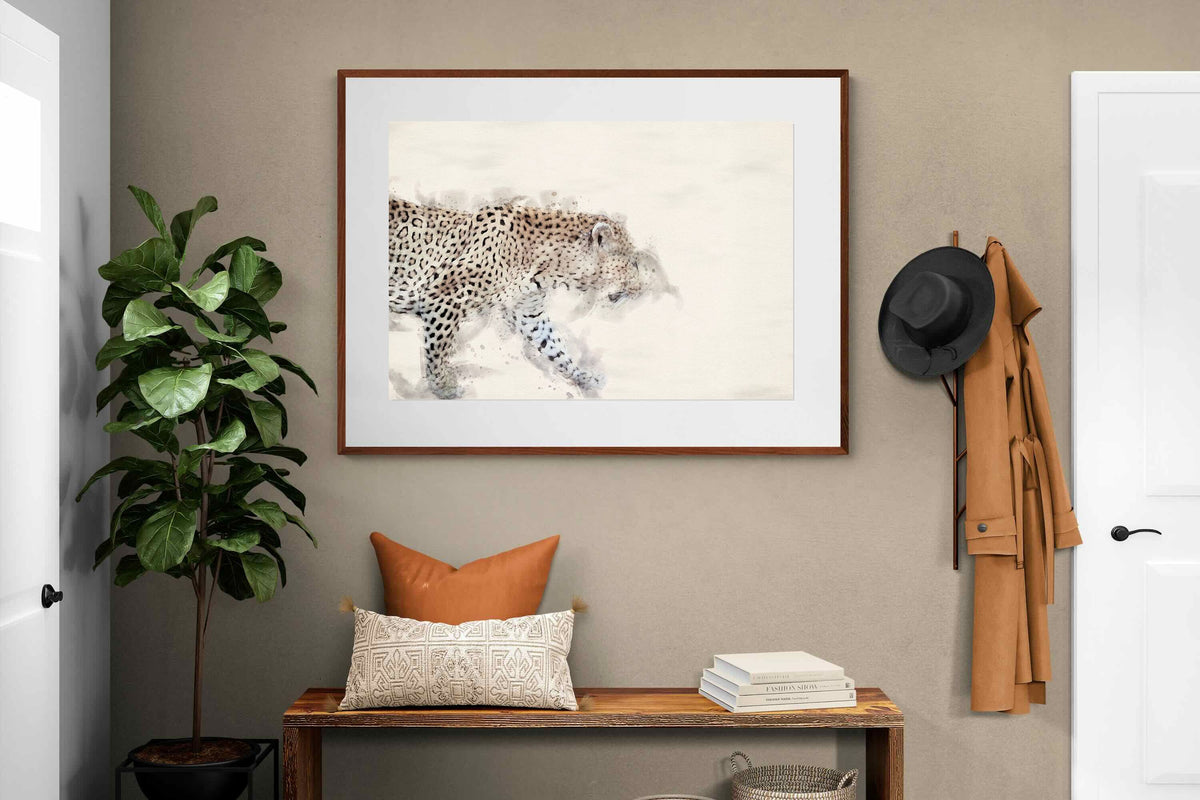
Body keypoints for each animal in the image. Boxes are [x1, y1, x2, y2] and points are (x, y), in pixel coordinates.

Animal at [387, 196, 665, 399]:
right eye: (632, 263)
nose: (642, 288)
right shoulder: (444, 297)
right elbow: (438, 348)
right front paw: (443, 387)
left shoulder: (528, 311)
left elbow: (555, 345)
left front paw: (583, 376)